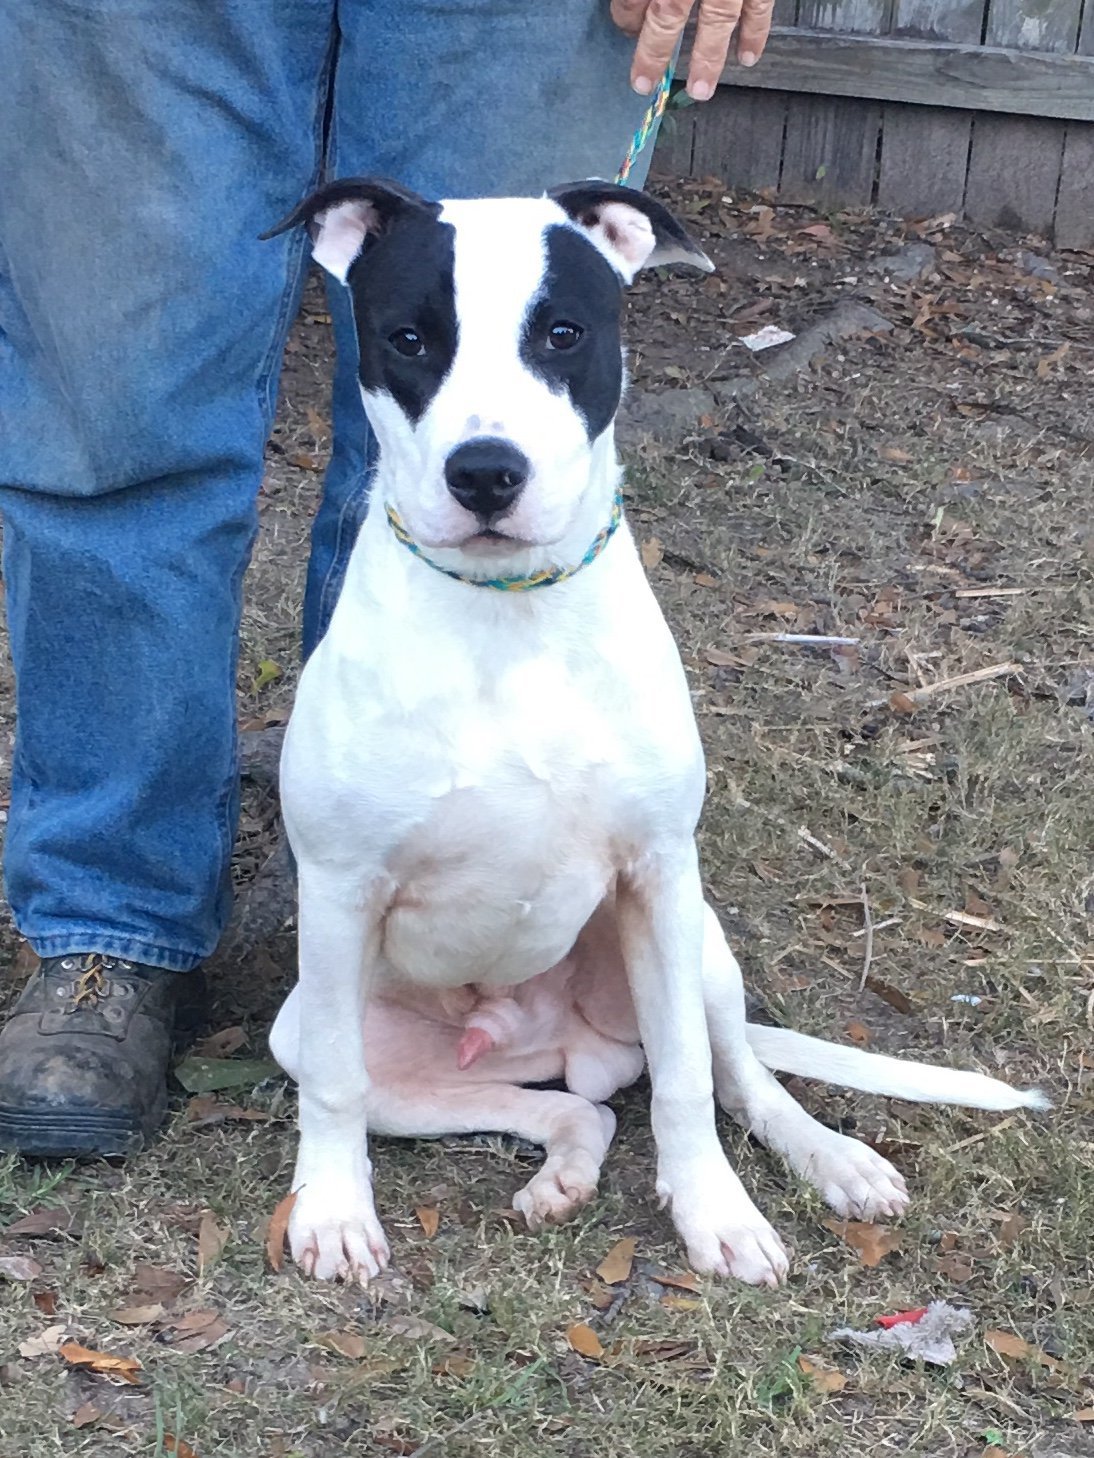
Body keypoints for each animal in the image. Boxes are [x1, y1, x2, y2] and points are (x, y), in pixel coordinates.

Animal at [264, 182, 1044, 1288]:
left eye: (562, 332)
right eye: (408, 338)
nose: (485, 474)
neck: (509, 612)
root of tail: (551, 1039)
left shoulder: (658, 874)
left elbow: (684, 1080)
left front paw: (715, 1212)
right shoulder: (336, 895)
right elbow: (332, 1086)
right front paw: (331, 1209)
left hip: (698, 940)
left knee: (735, 1072)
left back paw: (835, 1160)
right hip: (343, 1033)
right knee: (567, 1111)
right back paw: (560, 1171)